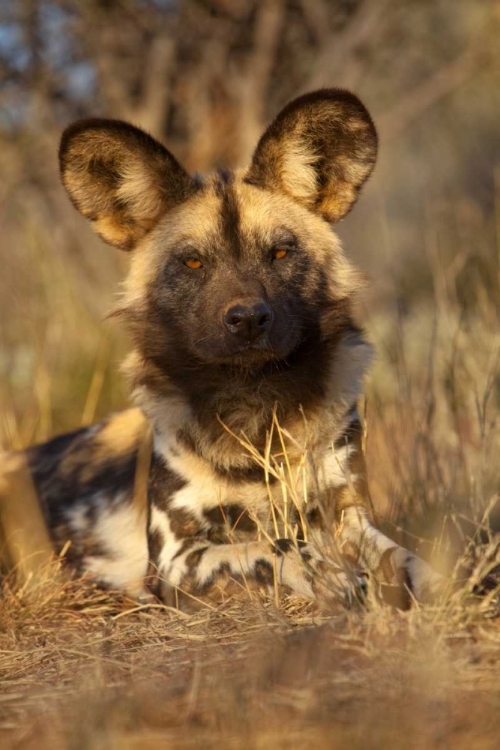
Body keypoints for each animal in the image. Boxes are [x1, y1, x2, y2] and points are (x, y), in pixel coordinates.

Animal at [1, 89, 444, 604]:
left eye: (280, 252)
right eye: (193, 262)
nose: (248, 319)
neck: (256, 410)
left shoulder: (350, 516)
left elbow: (407, 561)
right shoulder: (176, 562)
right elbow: (278, 550)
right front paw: (331, 578)